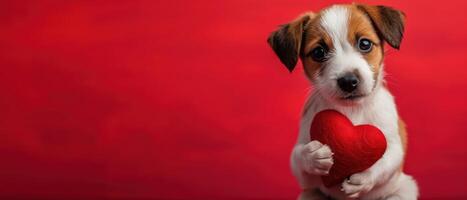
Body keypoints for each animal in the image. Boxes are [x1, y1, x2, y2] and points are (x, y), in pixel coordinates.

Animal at [268, 3, 418, 200]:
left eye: (365, 44)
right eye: (318, 52)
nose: (348, 81)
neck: (352, 111)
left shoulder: (393, 145)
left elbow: (387, 161)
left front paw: (364, 178)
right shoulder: (306, 177)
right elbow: (297, 158)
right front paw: (312, 156)